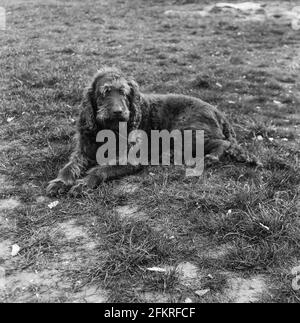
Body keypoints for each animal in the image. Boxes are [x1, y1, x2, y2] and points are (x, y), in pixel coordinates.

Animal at [46, 67, 260, 196]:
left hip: (183, 131)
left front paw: (85, 182)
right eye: (105, 92)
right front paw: (60, 181)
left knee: (223, 142)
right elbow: (69, 167)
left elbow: (101, 169)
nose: (118, 111)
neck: (109, 128)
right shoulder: (83, 151)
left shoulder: (131, 158)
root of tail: (217, 110)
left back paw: (211, 157)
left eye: (124, 92)